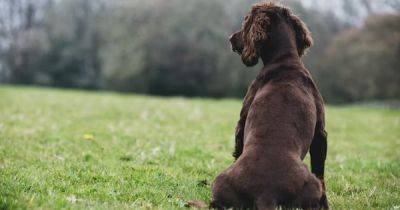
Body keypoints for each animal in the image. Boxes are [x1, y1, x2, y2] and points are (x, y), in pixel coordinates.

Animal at [209, 2, 328, 210]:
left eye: (245, 22)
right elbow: (321, 169)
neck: (286, 61)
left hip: (219, 182)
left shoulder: (242, 120)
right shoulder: (320, 132)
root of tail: (266, 193)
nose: (230, 38)